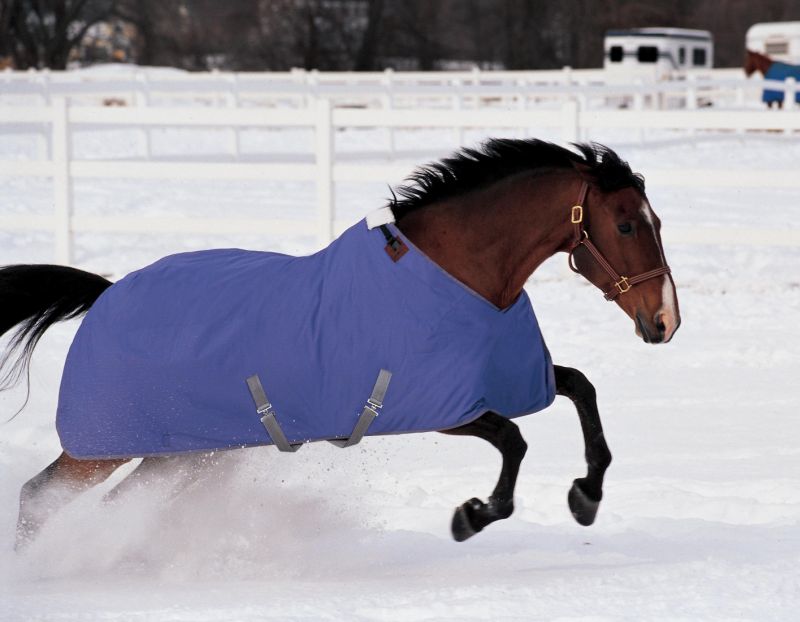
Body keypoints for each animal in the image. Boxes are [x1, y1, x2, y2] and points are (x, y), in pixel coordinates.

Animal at [1, 139, 680, 548]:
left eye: (656, 221)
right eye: (626, 225)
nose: (664, 321)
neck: (461, 276)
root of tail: (105, 293)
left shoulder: (508, 380)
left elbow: (582, 389)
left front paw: (586, 497)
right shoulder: (445, 409)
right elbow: (515, 441)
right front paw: (471, 516)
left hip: (181, 455)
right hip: (104, 449)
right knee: (38, 498)